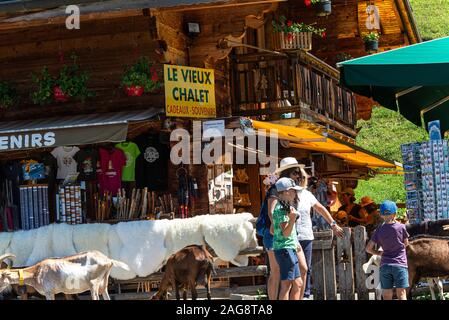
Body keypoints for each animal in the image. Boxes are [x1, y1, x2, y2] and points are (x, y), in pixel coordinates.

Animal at [0, 250, 130, 300]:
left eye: (0, 276)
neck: (37, 271)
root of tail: (108, 260)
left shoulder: (49, 292)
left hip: (93, 285)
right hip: (103, 284)